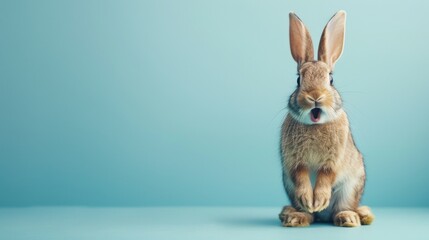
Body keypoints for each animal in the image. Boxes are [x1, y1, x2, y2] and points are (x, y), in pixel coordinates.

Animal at [278, 10, 374, 227]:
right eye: (298, 80)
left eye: (331, 79)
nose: (315, 96)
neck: (315, 125)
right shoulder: (294, 162)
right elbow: (301, 176)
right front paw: (309, 200)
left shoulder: (333, 161)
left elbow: (326, 175)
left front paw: (319, 199)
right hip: (289, 187)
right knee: (310, 214)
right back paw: (296, 216)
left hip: (350, 187)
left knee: (340, 209)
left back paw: (350, 217)